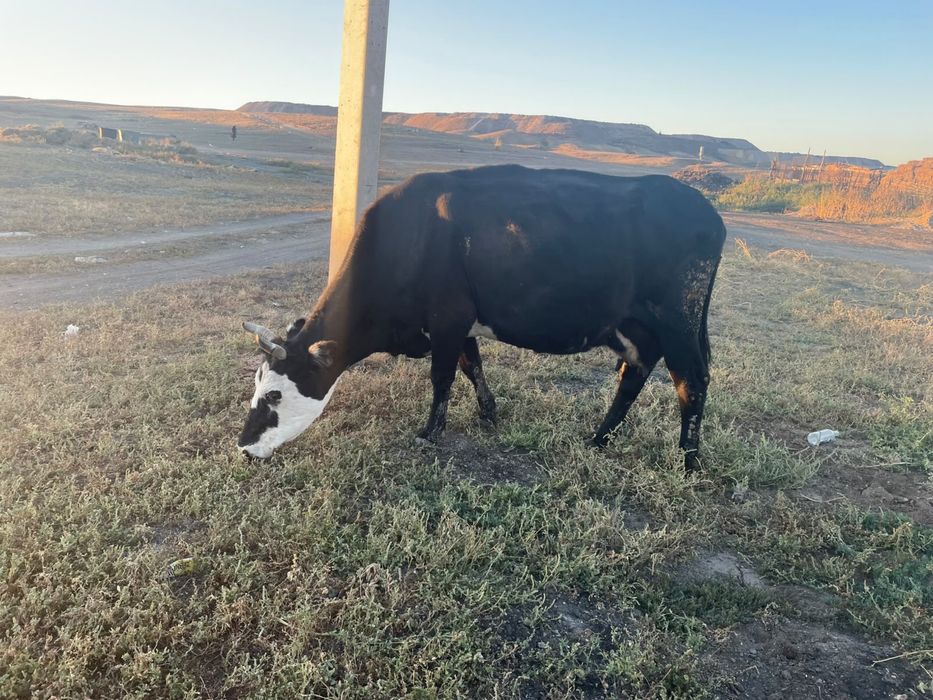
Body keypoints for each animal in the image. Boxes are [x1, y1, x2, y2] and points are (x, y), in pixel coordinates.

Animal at [238, 164, 726, 471]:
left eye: (276, 395)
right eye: (257, 386)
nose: (243, 447)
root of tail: (705, 210)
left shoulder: (447, 318)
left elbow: (443, 377)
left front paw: (430, 432)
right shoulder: (460, 322)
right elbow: (472, 366)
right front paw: (489, 413)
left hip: (679, 321)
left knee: (692, 381)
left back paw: (688, 459)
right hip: (635, 327)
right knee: (634, 375)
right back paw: (598, 439)